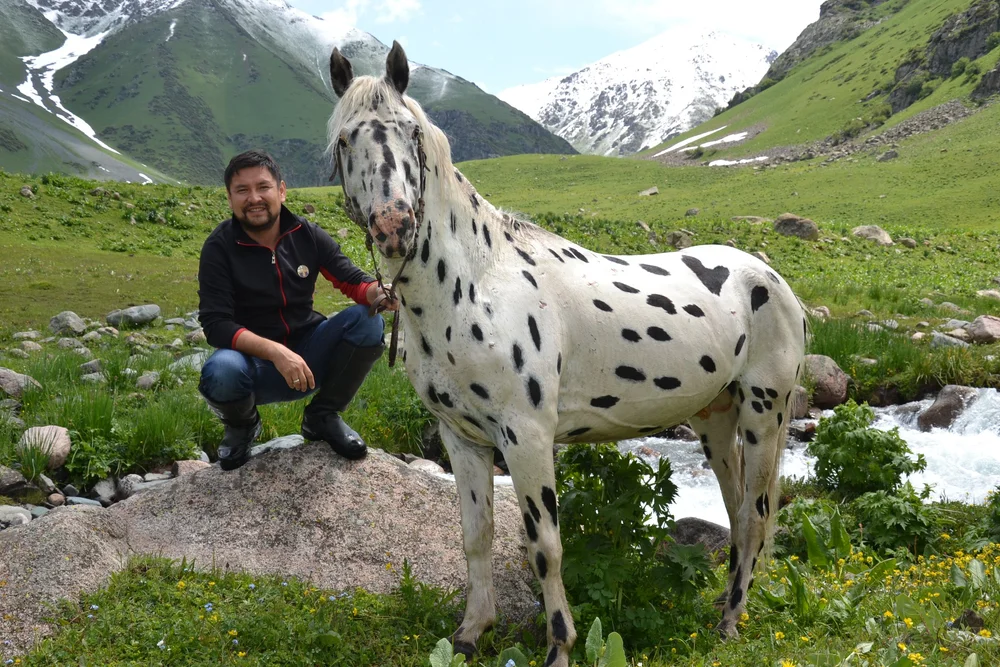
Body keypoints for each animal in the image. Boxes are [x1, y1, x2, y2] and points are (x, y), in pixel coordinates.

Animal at [326, 41, 807, 667]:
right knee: (735, 510)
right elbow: (476, 538)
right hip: (716, 418)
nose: (394, 225)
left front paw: (560, 645)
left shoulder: (526, 436)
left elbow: (545, 546)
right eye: (344, 139)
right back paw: (725, 606)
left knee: (754, 516)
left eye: (410, 131)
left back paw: (730, 622)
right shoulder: (462, 439)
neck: (476, 284)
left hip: (764, 411)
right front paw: (470, 633)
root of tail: (773, 279)